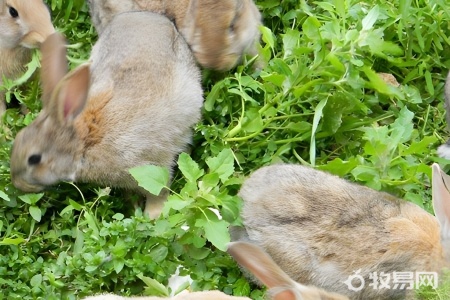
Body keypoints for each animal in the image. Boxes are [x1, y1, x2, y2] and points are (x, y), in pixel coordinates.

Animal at [9, 10, 203, 219]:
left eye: (34, 159)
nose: (18, 184)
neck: (85, 142)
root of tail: (151, 17)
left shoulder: (152, 162)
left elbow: (159, 190)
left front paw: (153, 215)